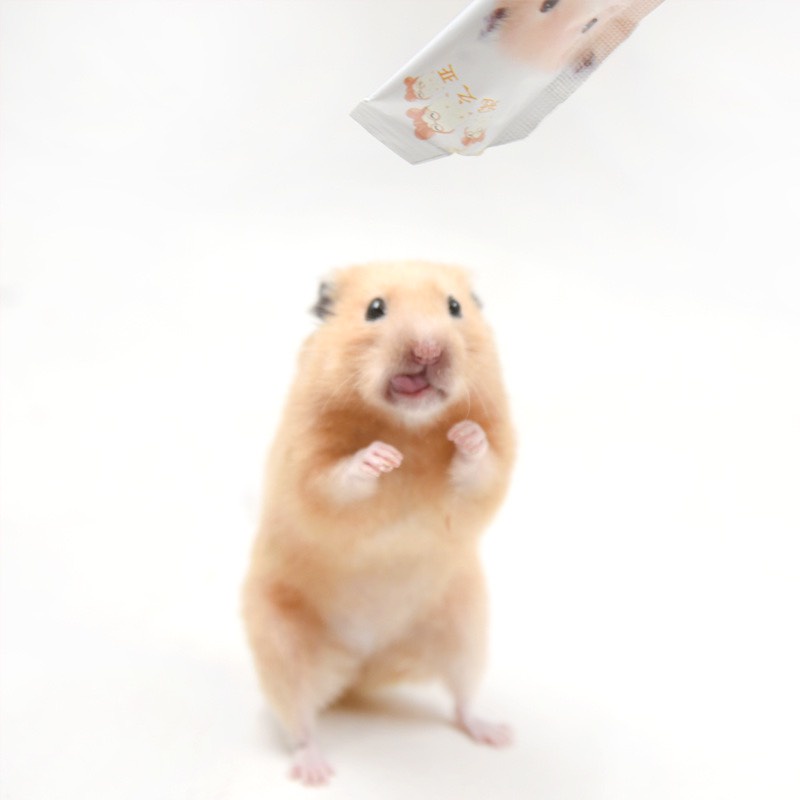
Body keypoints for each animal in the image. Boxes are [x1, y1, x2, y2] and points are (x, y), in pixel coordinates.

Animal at [242, 261, 515, 785]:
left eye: (455, 307)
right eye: (374, 309)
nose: (428, 349)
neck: (408, 423)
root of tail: (363, 669)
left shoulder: (495, 463)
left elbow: (481, 464)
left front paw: (463, 434)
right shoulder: (306, 467)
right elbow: (337, 479)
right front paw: (382, 457)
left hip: (464, 630)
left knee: (463, 700)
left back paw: (497, 734)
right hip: (281, 646)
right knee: (299, 720)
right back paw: (315, 771)